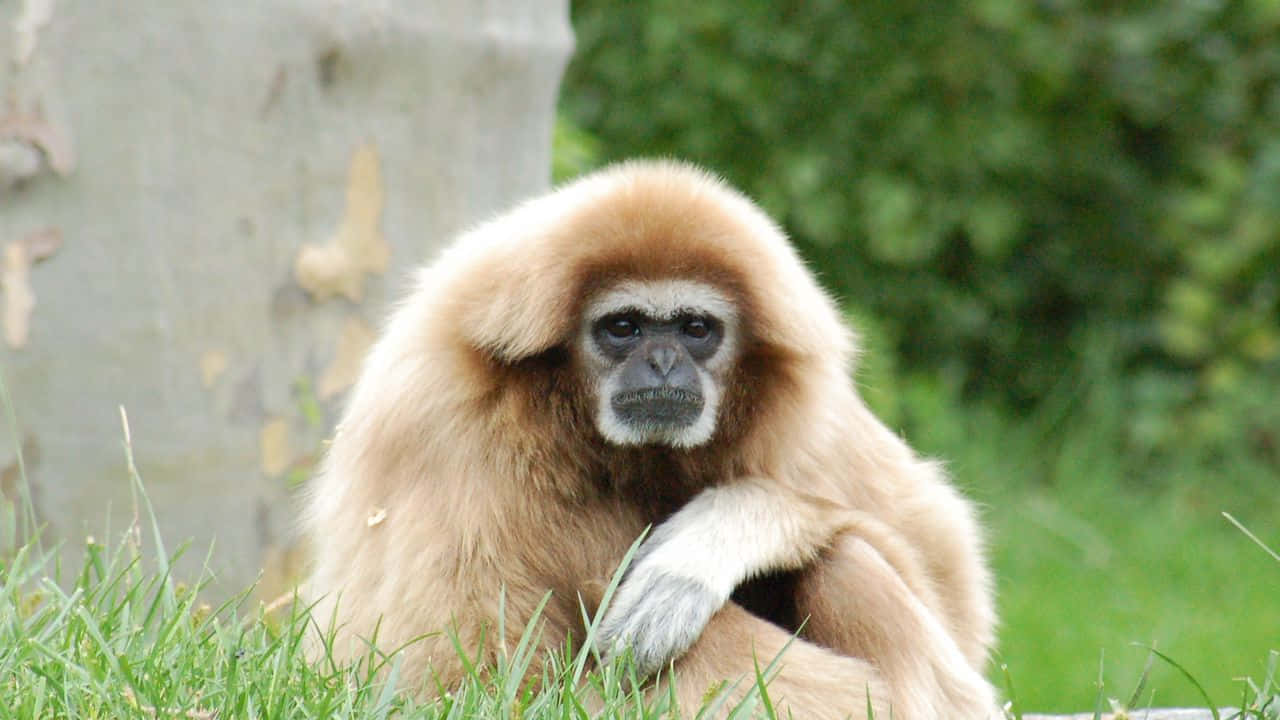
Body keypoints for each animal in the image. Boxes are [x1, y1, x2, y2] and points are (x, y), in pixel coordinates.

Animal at [302, 160, 998, 719]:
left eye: (694, 328)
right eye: (624, 327)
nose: (663, 362)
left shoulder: (808, 416)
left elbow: (953, 590)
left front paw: (703, 547)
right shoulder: (441, 426)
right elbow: (465, 685)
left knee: (846, 555)